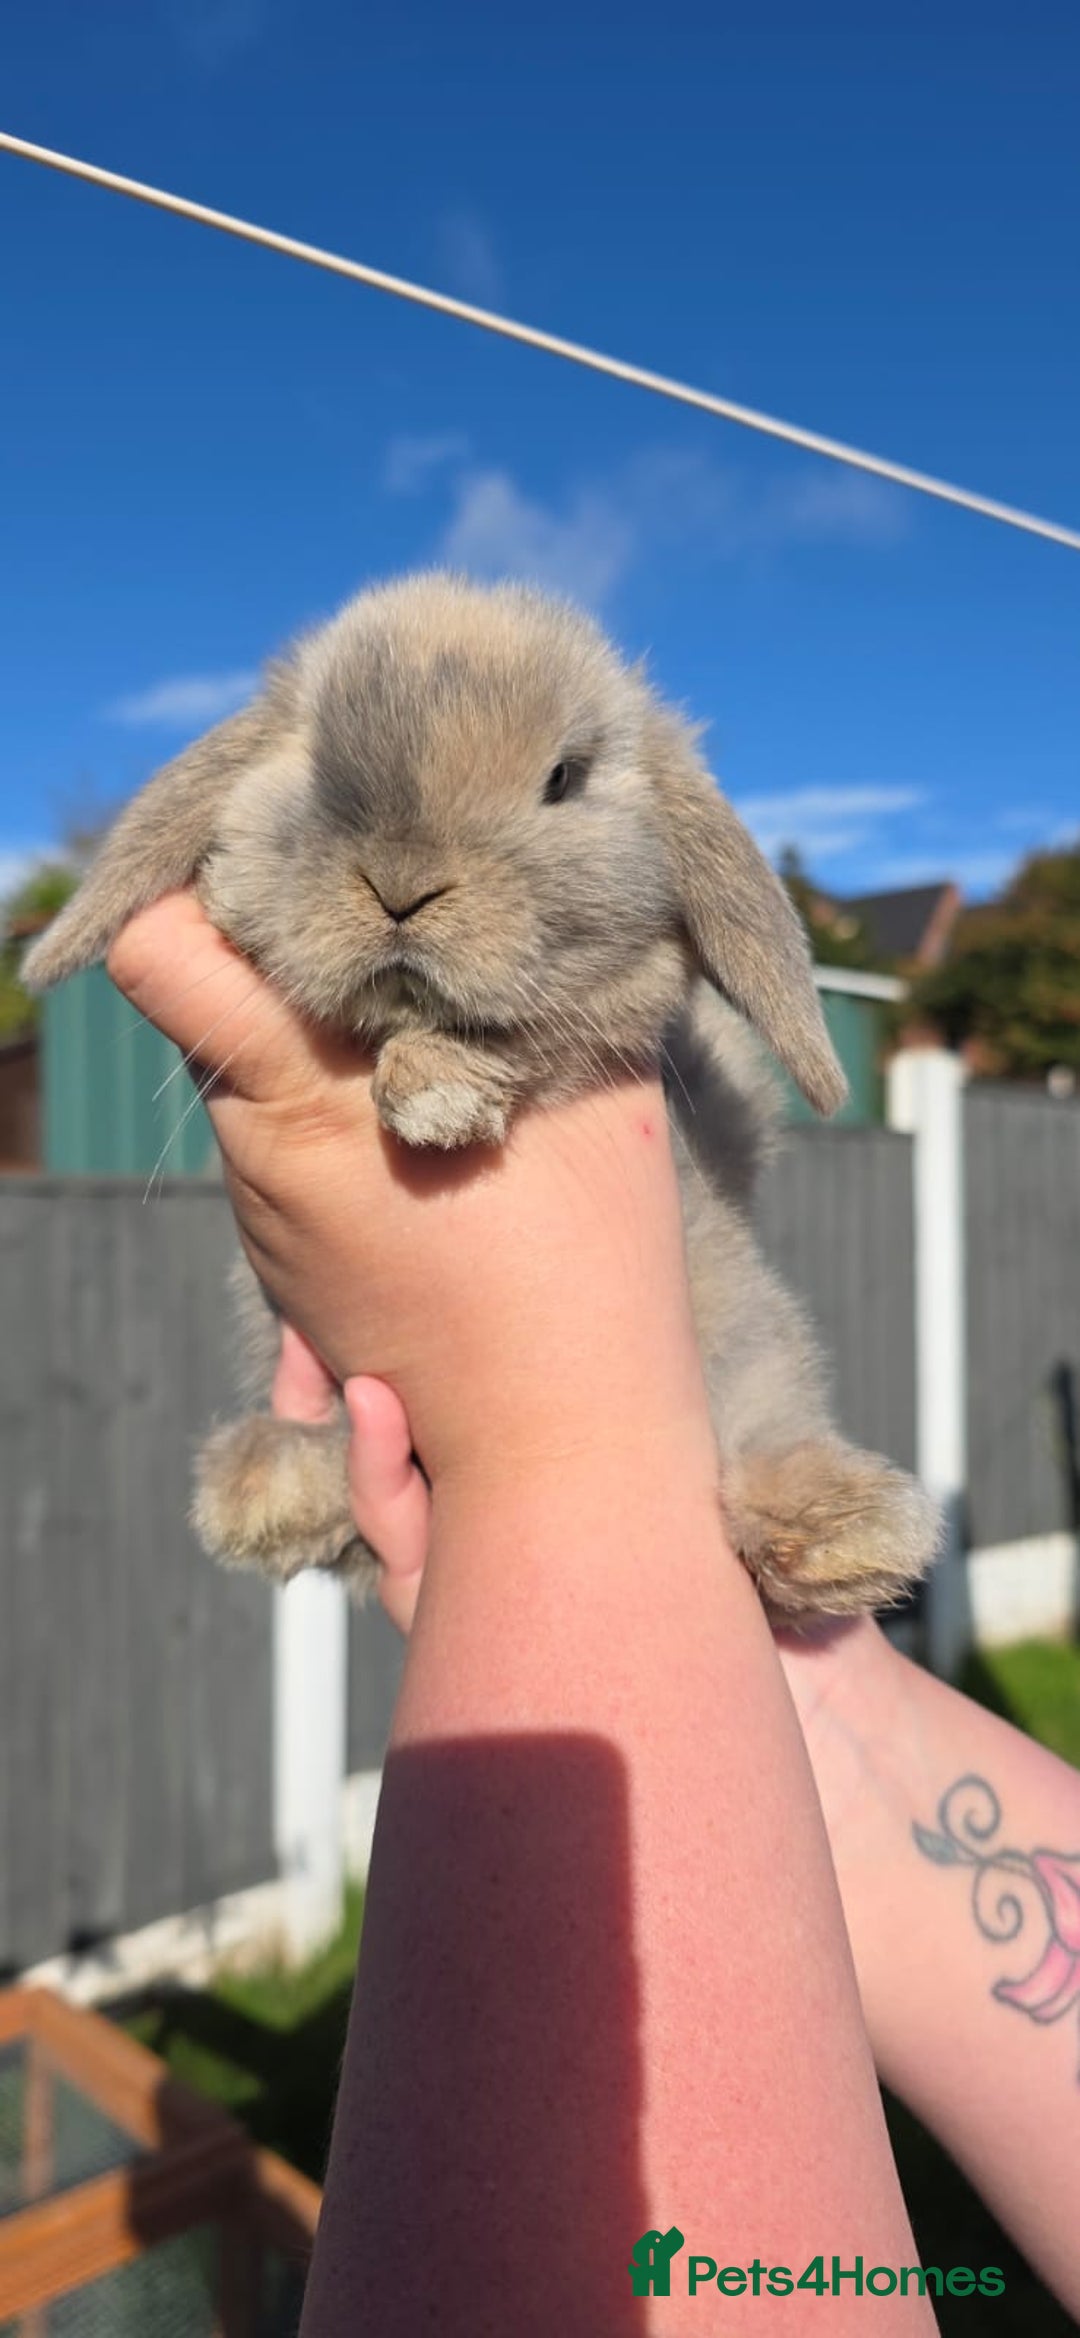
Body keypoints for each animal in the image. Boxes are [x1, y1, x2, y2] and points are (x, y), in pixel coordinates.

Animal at [23, 570, 939, 1623]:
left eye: (564, 778)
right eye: (316, 759)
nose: (402, 887)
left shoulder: (634, 1034)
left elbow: (558, 1033)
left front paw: (437, 1092)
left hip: (746, 1327)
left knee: (774, 1416)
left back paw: (845, 1537)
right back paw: (268, 1489)